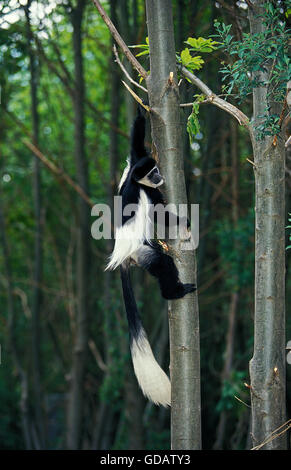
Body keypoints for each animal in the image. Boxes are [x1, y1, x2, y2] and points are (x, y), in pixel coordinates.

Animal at [105, 107, 196, 408]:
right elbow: (162, 216)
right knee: (163, 264)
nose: (159, 176)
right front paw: (185, 222)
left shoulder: (134, 164)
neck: (135, 181)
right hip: (143, 254)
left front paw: (142, 111)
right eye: (154, 173)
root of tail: (123, 259)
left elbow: (136, 142)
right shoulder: (147, 191)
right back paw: (175, 291)